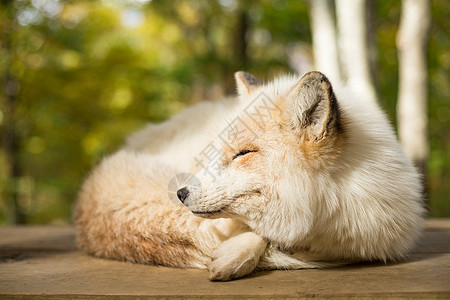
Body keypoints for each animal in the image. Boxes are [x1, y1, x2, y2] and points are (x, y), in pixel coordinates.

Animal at [74, 71, 426, 282]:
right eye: (215, 151)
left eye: (243, 153)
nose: (180, 193)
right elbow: (255, 230)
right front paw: (236, 254)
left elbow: (265, 232)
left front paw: (238, 253)